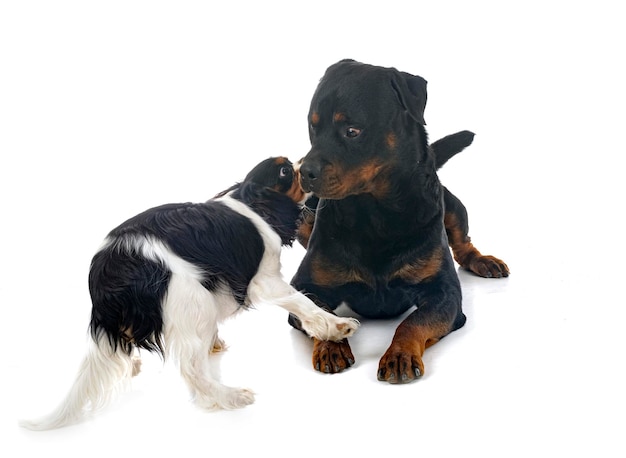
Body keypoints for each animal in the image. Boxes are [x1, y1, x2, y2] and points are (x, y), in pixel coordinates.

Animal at [22, 157, 358, 430]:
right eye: (286, 170)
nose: (304, 166)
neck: (250, 203)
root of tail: (106, 275)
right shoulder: (266, 279)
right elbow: (304, 303)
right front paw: (336, 326)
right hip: (191, 296)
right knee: (191, 369)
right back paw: (228, 396)